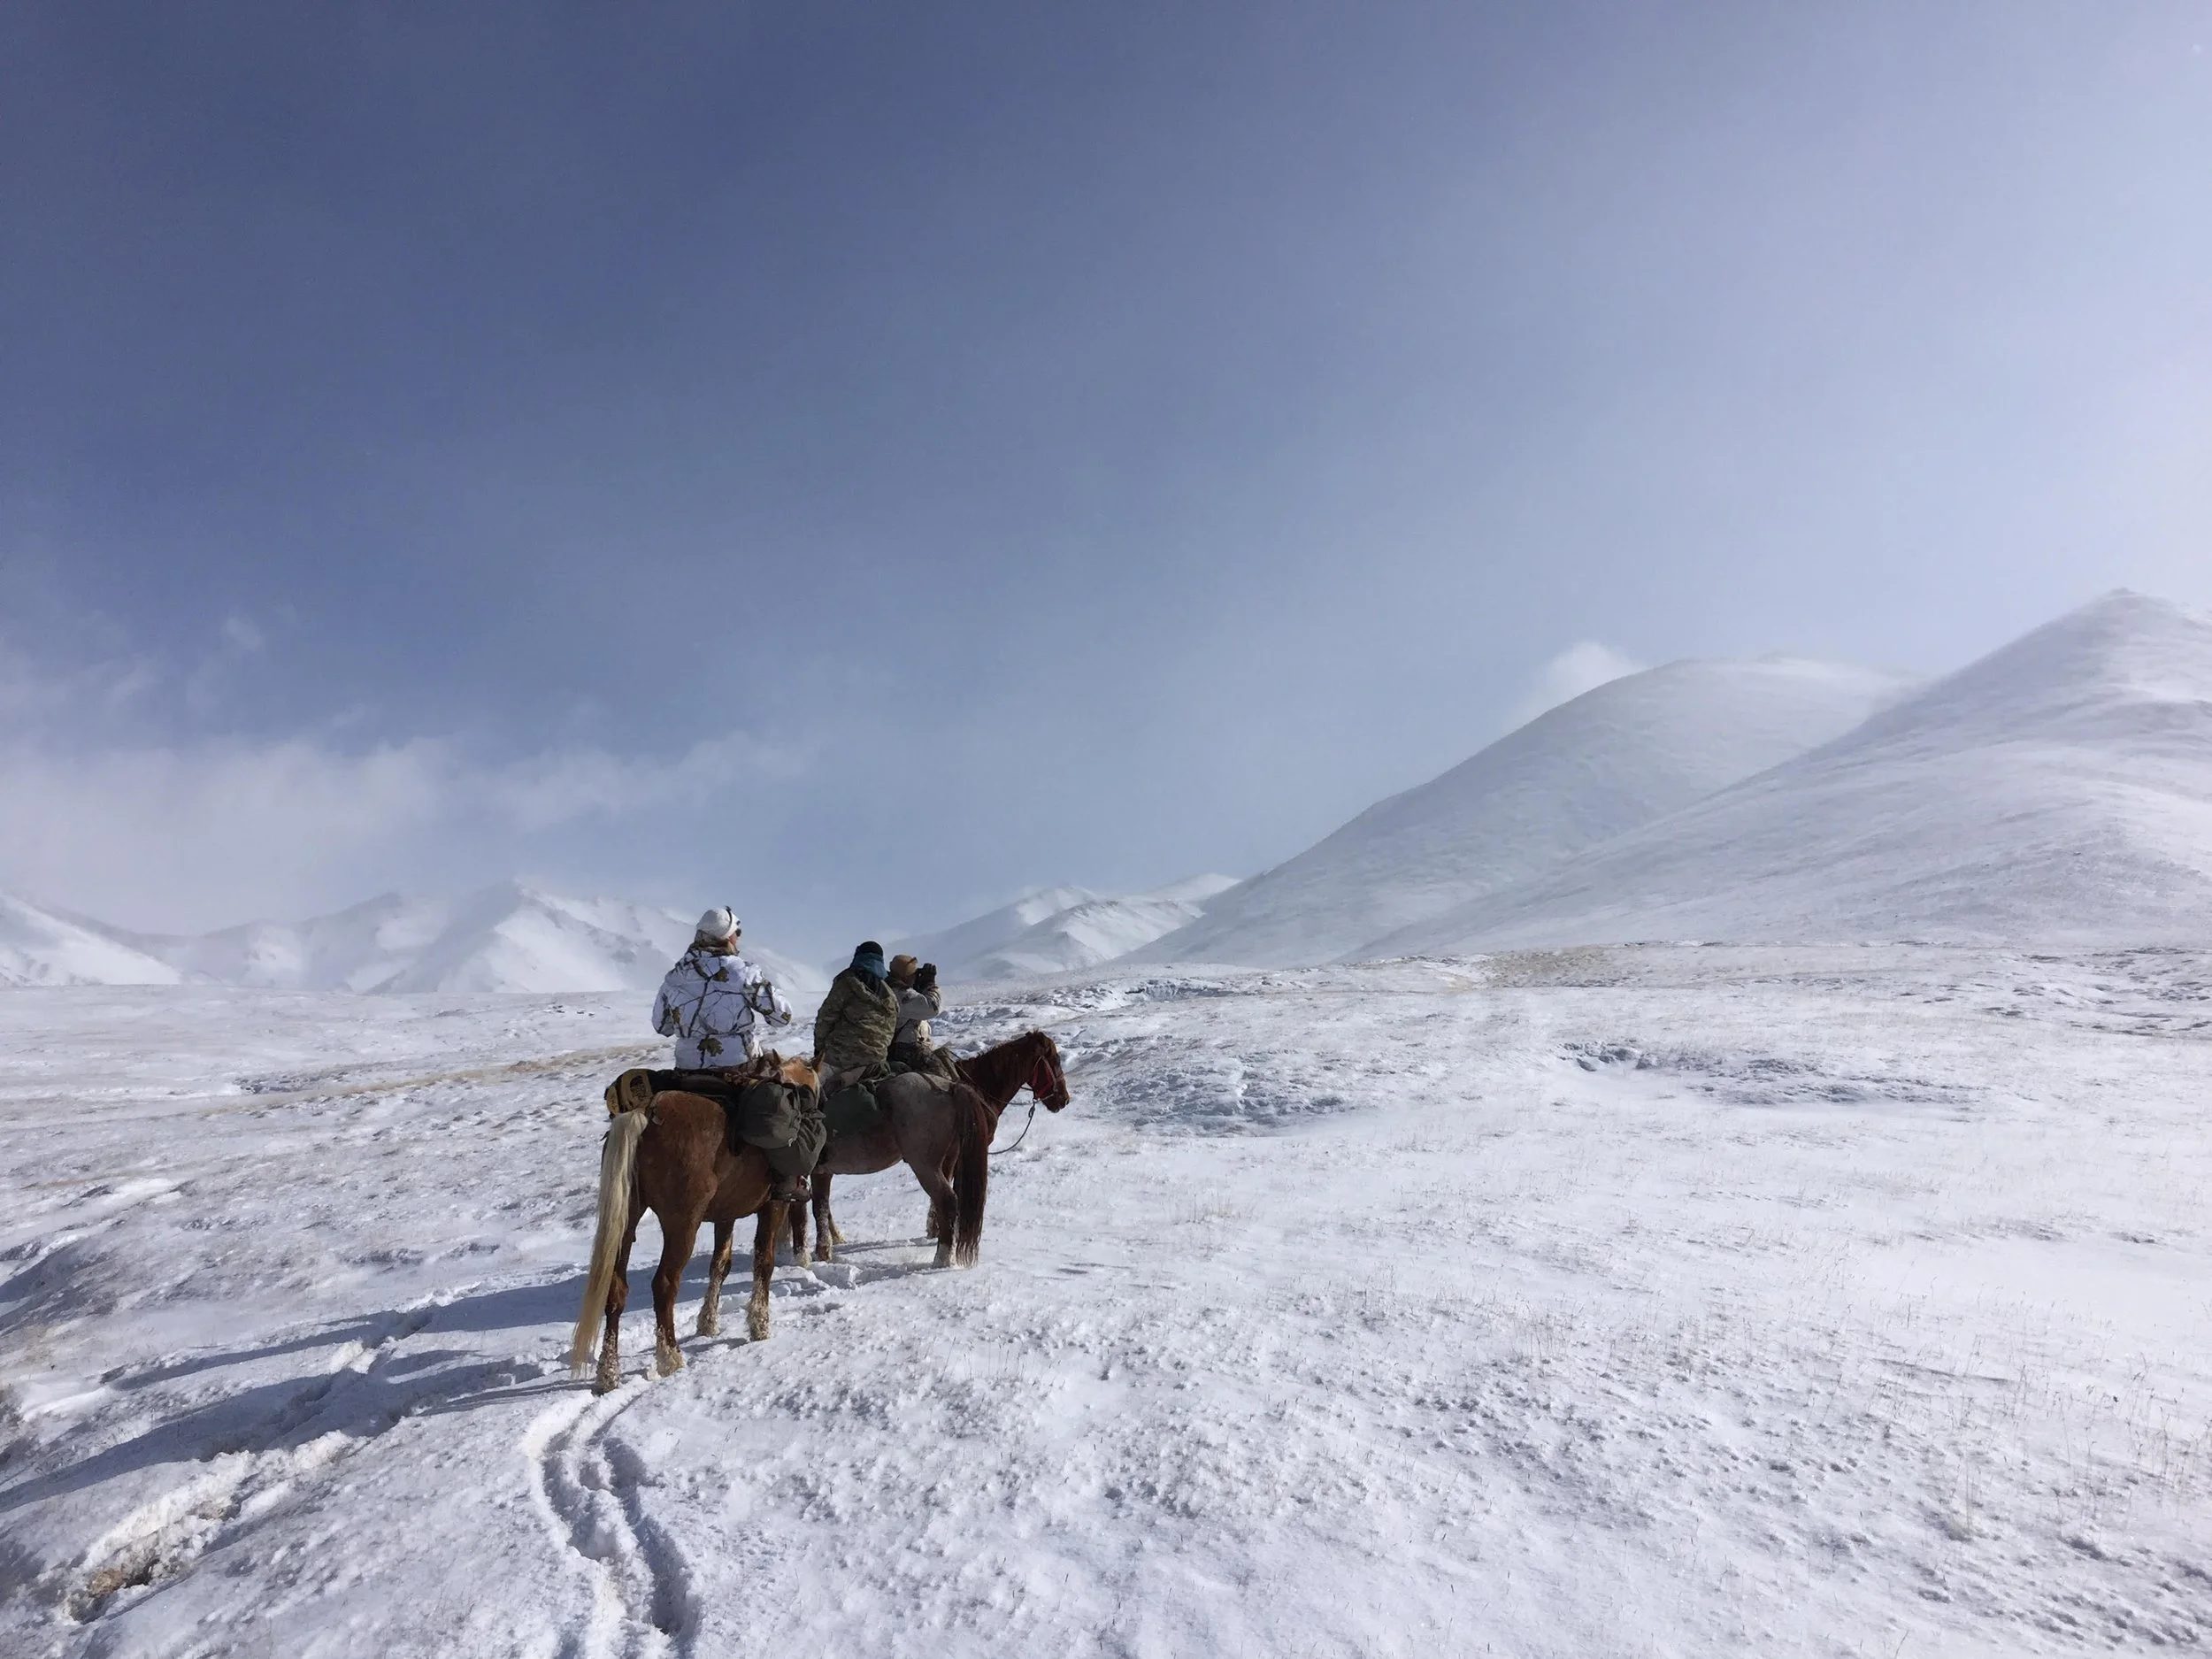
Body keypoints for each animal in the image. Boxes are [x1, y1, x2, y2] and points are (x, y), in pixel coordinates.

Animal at [568, 1054, 820, 1395]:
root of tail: (645, 1115)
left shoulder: (725, 1215)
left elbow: (720, 1265)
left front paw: (708, 1323)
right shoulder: (774, 1206)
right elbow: (763, 1262)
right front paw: (759, 1324)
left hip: (626, 1223)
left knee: (616, 1290)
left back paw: (608, 1373)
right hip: (682, 1225)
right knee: (664, 1285)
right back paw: (670, 1357)